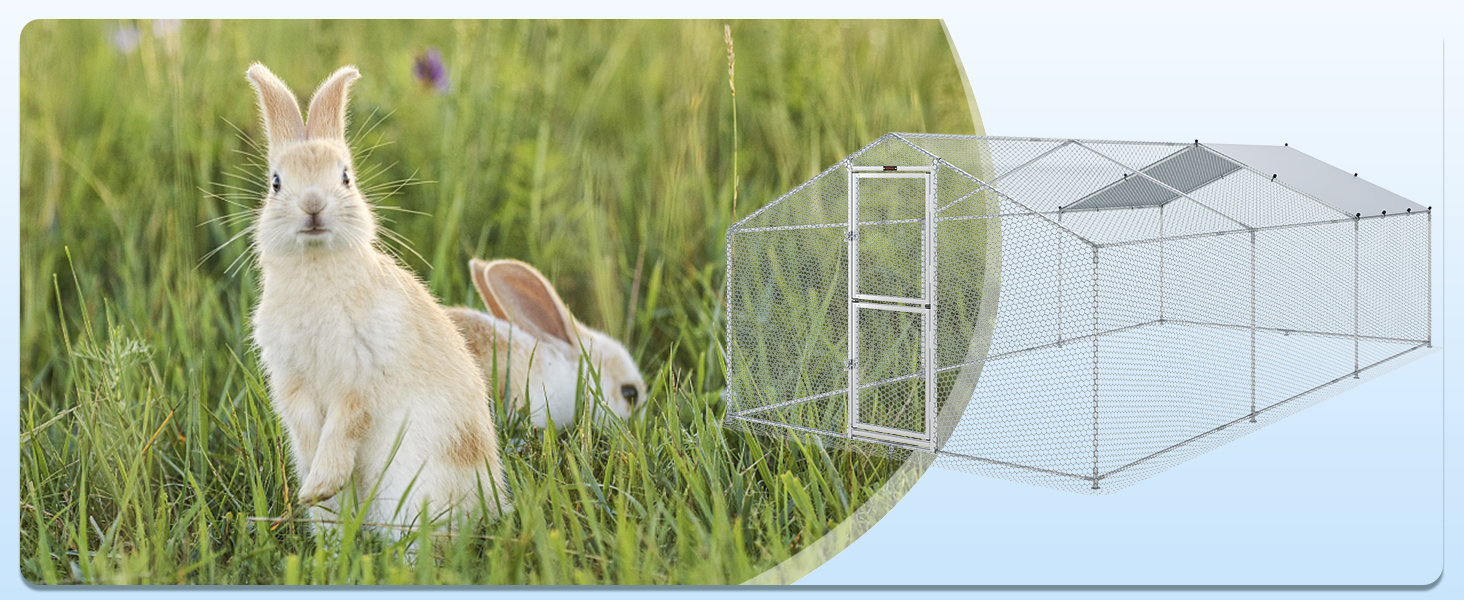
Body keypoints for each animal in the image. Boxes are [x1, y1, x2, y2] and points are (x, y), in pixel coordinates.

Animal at [244, 63, 509, 537]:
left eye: (346, 177)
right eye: (275, 182)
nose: (313, 205)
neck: (317, 266)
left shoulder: (361, 372)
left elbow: (345, 425)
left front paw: (320, 481)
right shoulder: (291, 378)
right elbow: (307, 426)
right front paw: (314, 487)